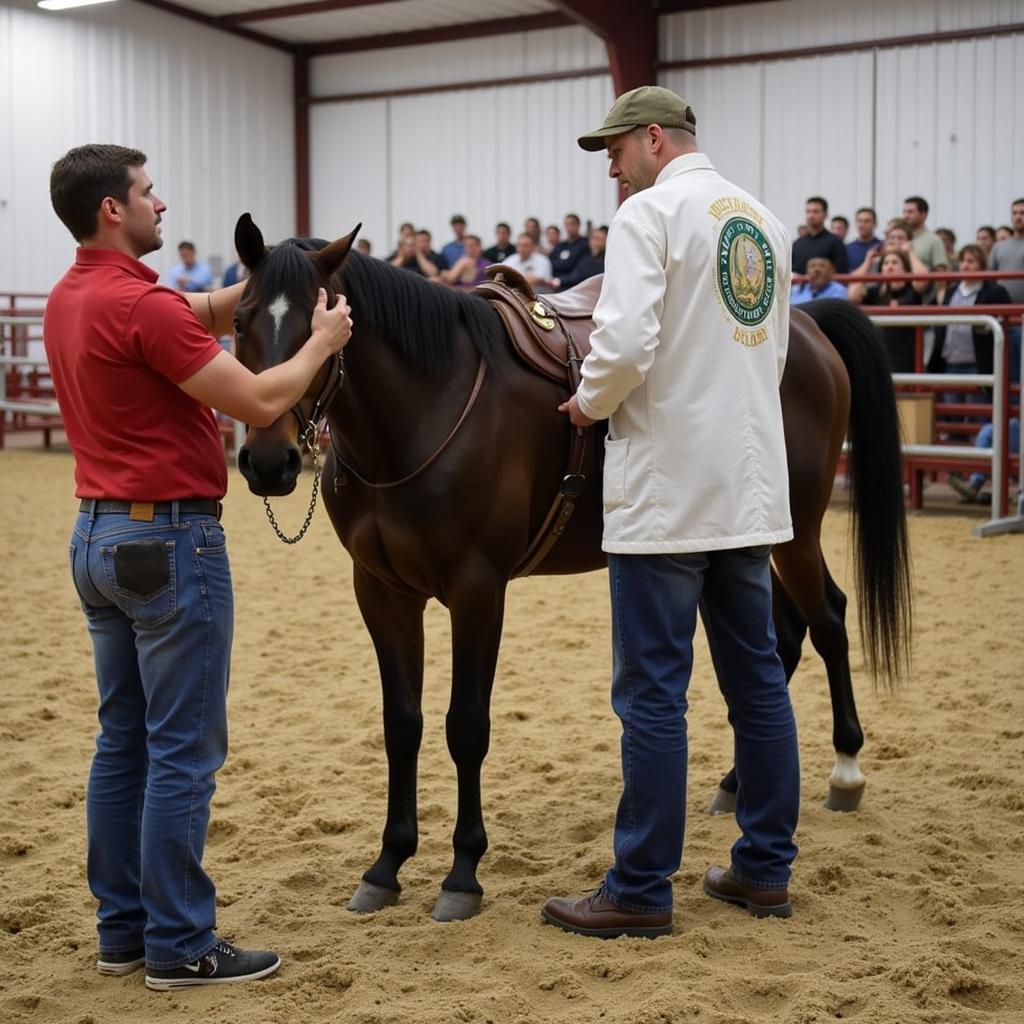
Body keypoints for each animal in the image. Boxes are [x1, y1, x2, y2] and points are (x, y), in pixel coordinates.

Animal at [232, 214, 913, 921]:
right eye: (240, 321)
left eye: (322, 323)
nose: (268, 461)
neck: (428, 404)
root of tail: (806, 326)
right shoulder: (381, 590)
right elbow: (402, 725)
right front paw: (387, 864)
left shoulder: (478, 590)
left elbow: (465, 727)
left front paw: (462, 874)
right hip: (752, 541)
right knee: (781, 643)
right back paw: (736, 785)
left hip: (796, 533)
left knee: (828, 619)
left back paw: (845, 769)